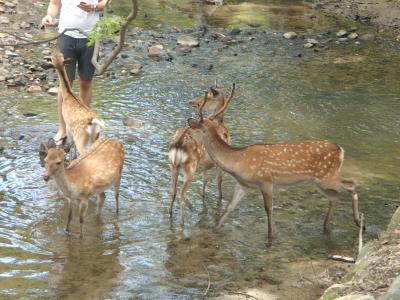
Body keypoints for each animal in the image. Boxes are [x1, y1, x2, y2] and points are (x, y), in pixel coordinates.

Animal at [168, 82, 231, 225]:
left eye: (207, 97)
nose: (191, 101)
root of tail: (178, 144)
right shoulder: (220, 163)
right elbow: (219, 183)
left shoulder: (204, 166)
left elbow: (205, 181)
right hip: (190, 167)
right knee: (182, 194)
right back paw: (182, 223)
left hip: (172, 165)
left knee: (173, 191)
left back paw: (169, 215)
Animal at [188, 82, 362, 244]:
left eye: (197, 129)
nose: (187, 133)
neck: (237, 161)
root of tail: (340, 150)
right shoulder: (243, 184)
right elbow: (228, 208)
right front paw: (214, 230)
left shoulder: (266, 181)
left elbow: (268, 210)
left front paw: (270, 237)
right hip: (319, 181)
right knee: (335, 196)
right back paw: (327, 226)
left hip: (326, 176)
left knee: (352, 184)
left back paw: (358, 221)